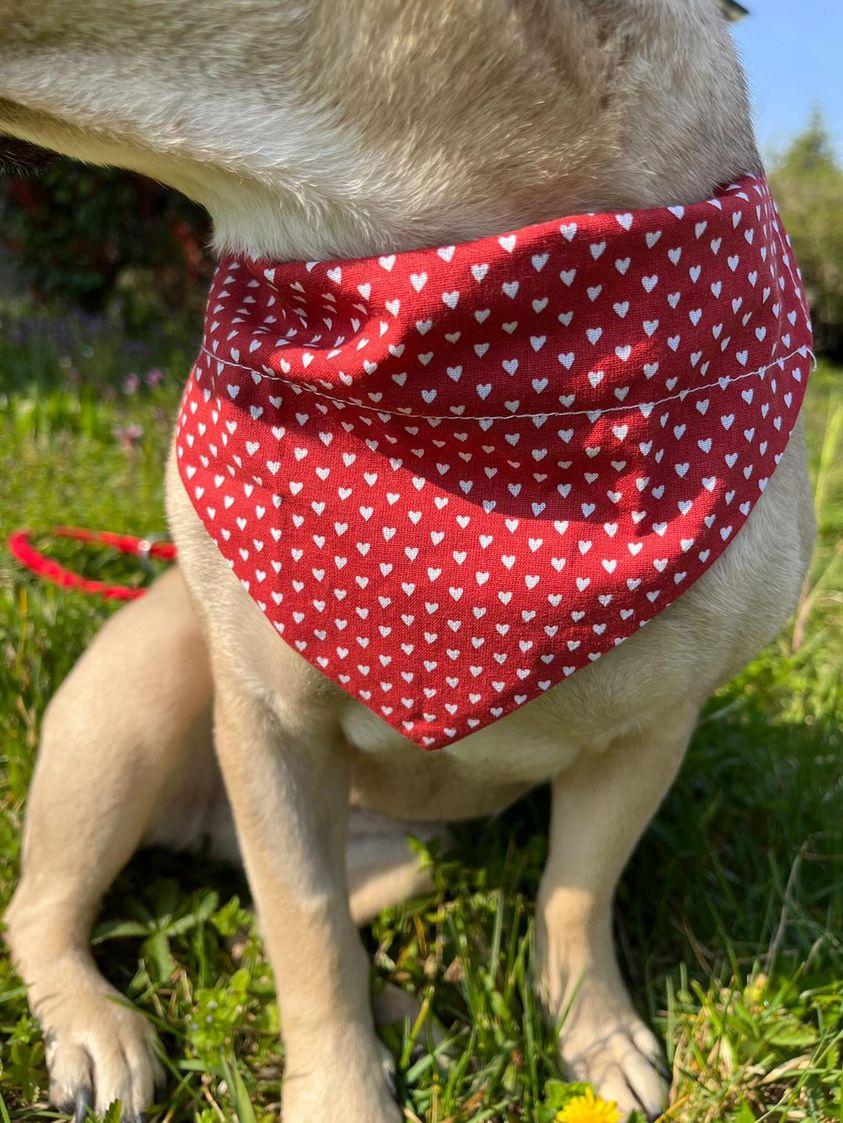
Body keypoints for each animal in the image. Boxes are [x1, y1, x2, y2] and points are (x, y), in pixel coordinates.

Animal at [0, 2, 817, 1123]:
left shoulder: (650, 733)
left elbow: (576, 891)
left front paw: (593, 1034)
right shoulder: (270, 725)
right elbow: (303, 924)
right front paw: (342, 1092)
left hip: (394, 857)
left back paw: (405, 1009)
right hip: (127, 713)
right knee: (46, 907)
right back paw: (99, 1025)